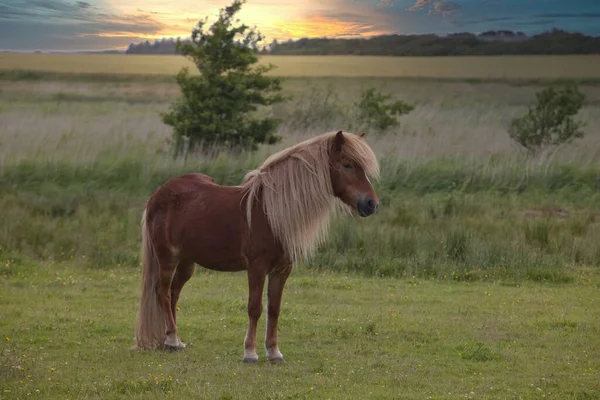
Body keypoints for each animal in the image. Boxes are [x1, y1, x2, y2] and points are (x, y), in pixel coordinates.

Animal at [136, 131, 380, 362]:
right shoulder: (257, 267)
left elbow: (274, 309)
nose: (371, 204)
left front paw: (274, 352)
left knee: (174, 293)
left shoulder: (282, 270)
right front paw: (250, 353)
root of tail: (157, 195)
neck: (270, 213)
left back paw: (174, 341)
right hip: (167, 257)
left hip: (187, 262)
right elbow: (254, 308)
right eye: (347, 164)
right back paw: (172, 340)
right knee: (163, 293)